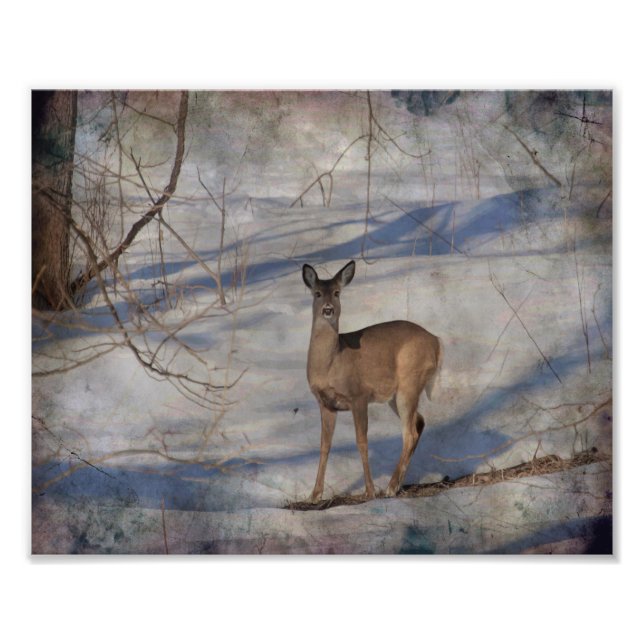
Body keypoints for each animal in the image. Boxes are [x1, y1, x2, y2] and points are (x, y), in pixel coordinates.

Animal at [302, 259, 441, 503]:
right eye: (317, 293)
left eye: (337, 293)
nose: (328, 309)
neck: (331, 363)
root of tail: (436, 341)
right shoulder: (325, 403)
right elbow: (324, 445)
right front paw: (314, 494)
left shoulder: (359, 395)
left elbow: (361, 441)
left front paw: (369, 491)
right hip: (395, 395)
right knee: (419, 421)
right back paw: (397, 484)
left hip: (409, 382)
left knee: (409, 432)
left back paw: (390, 488)